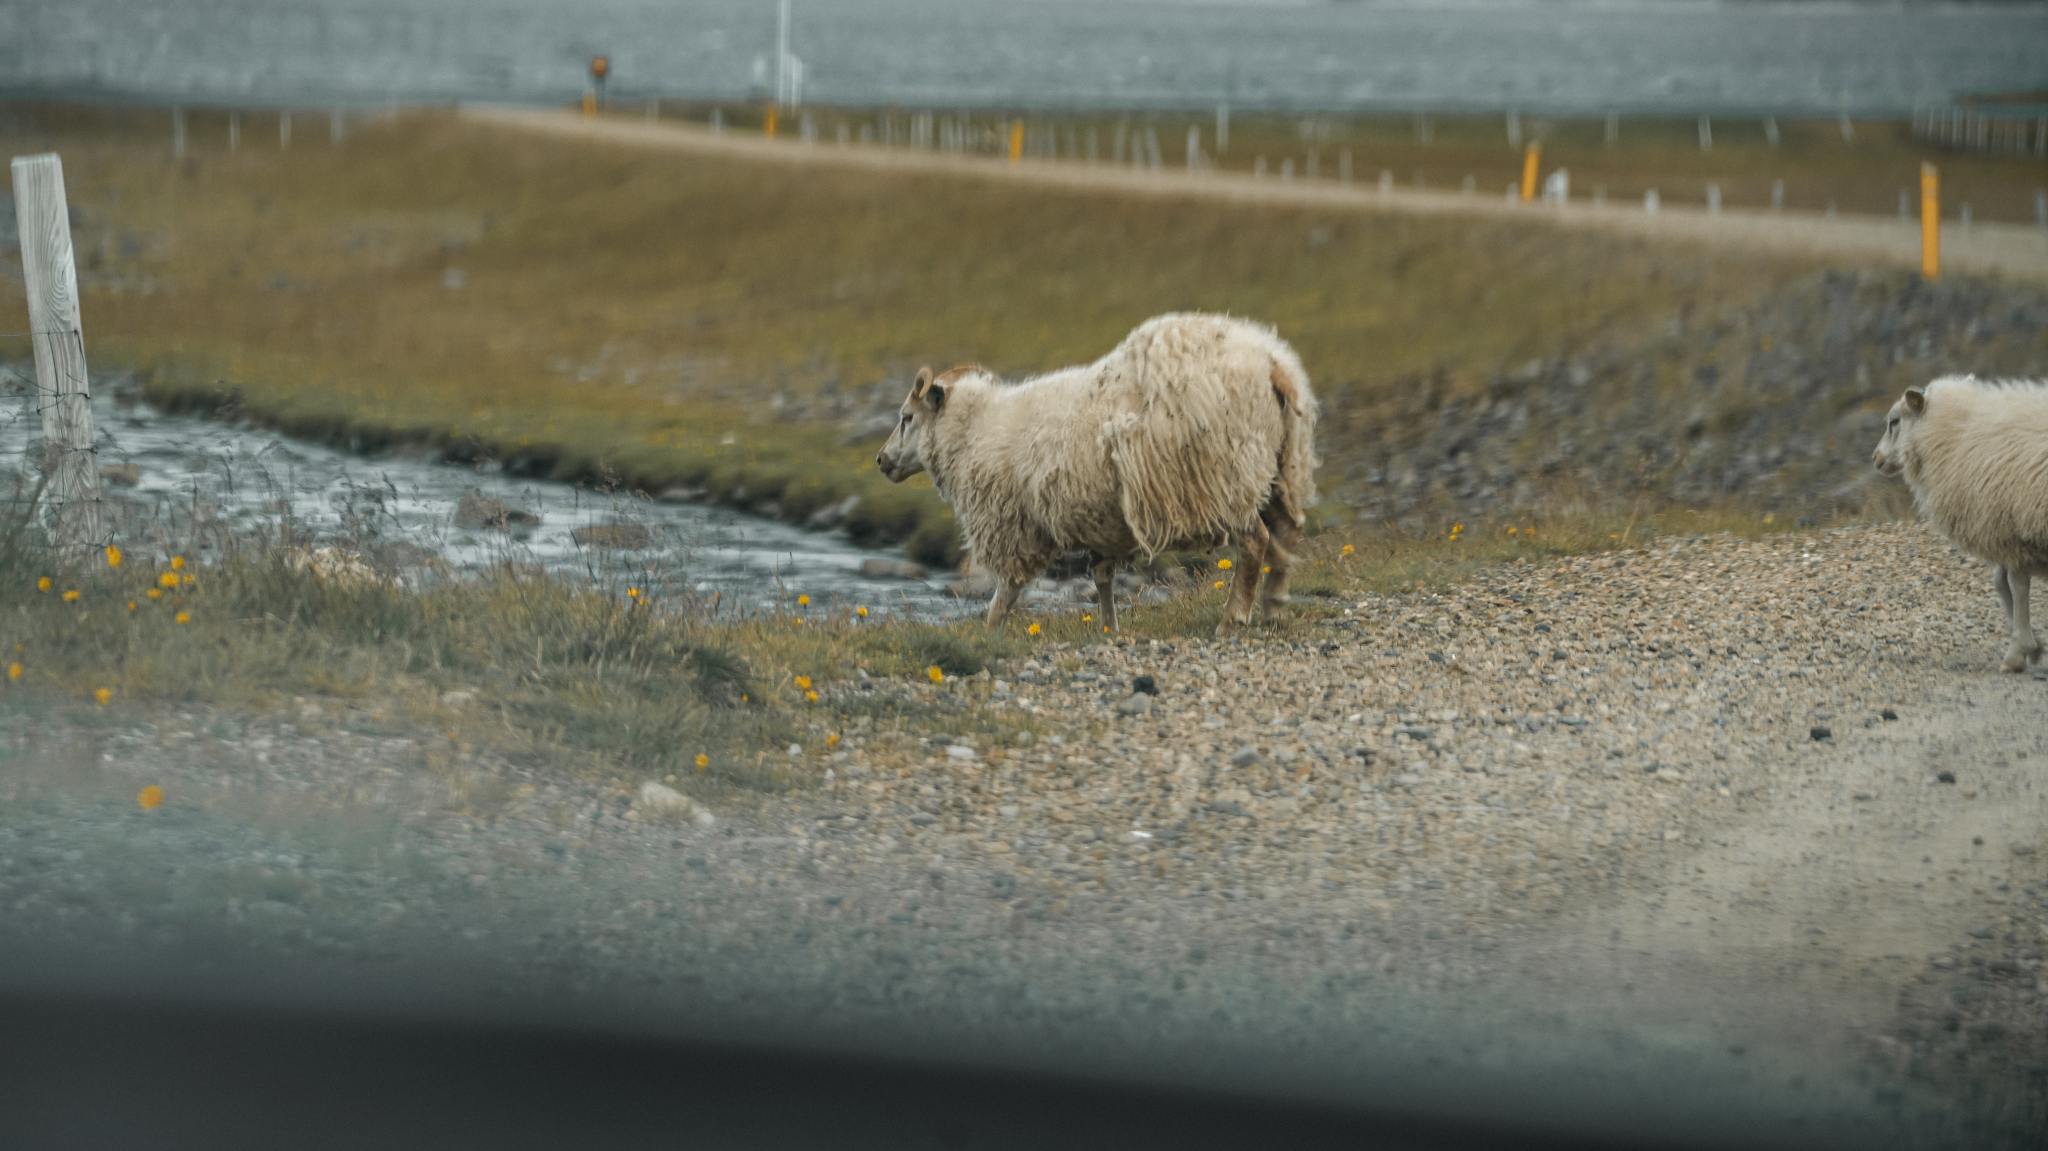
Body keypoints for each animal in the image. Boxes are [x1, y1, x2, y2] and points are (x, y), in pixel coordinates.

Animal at [872, 313, 1318, 630]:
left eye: (906, 418)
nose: (880, 460)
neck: (976, 427)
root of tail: (1272, 363)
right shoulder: (1099, 522)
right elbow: (1102, 579)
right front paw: (1109, 630)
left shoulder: (1014, 528)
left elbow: (1006, 592)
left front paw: (989, 632)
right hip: (1277, 467)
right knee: (1288, 529)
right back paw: (1274, 609)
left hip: (1223, 476)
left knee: (1255, 541)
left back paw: (1233, 620)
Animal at [1875, 372, 2048, 667]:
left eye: (1894, 421)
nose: (1875, 458)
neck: (1957, 433)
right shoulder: (2003, 526)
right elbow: (2000, 582)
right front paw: (2033, 645)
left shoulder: (2008, 528)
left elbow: (2015, 584)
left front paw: (2019, 650)